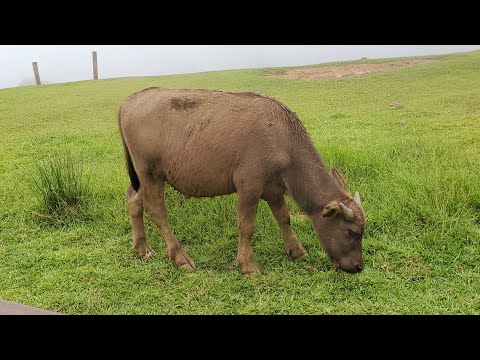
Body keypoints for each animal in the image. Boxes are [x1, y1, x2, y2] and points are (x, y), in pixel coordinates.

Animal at [118, 88, 366, 274]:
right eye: (351, 232)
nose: (358, 267)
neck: (283, 139)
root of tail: (130, 101)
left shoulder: (274, 189)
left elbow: (284, 218)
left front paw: (297, 250)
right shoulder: (249, 187)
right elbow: (247, 225)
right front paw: (247, 265)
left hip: (140, 177)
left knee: (134, 199)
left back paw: (142, 248)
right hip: (151, 174)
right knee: (157, 210)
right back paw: (179, 258)